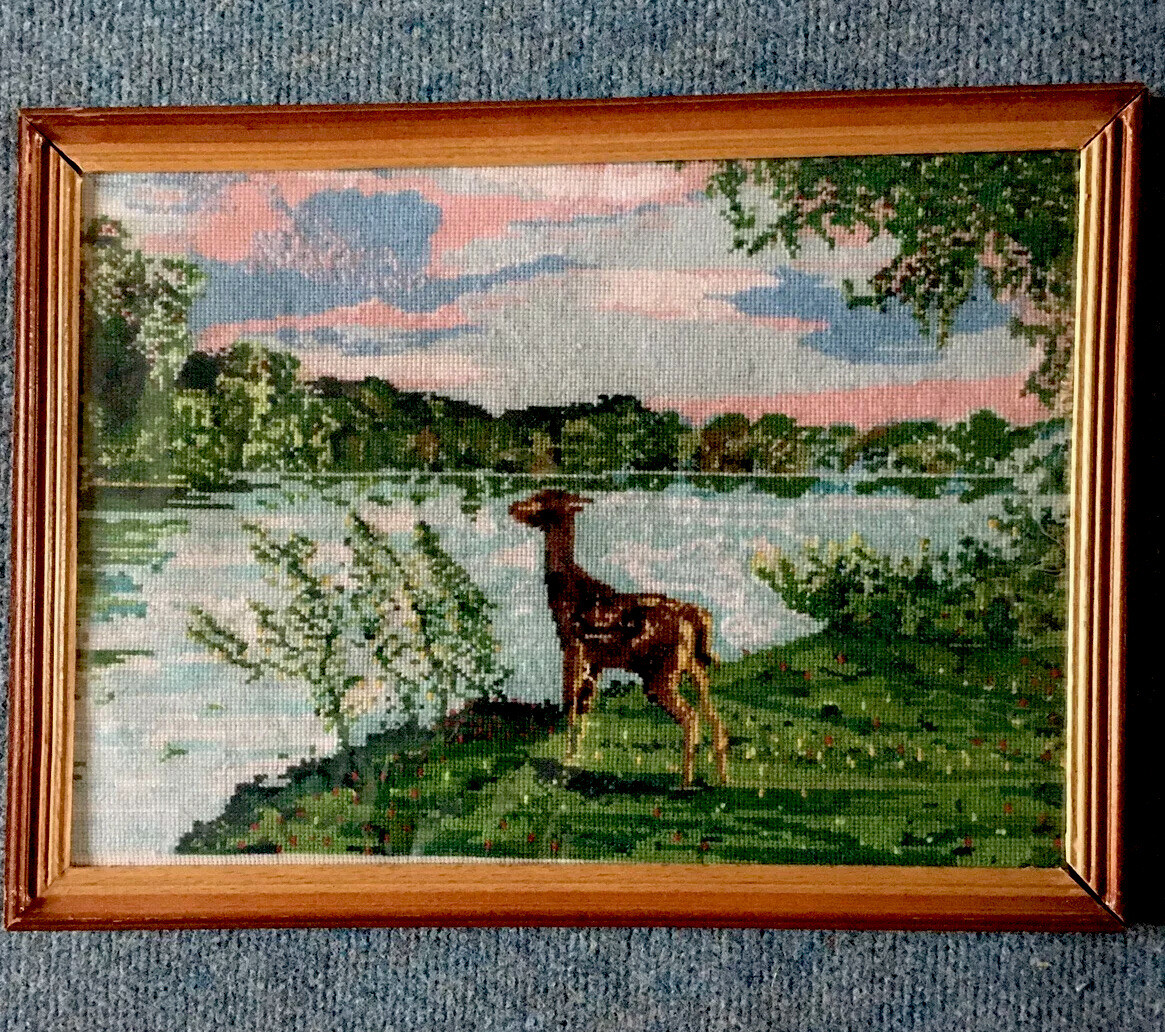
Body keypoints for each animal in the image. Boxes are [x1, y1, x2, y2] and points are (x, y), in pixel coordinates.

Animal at [509, 489, 729, 787]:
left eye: (542, 500)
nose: (512, 507)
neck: (564, 592)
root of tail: (695, 616)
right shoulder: (596, 661)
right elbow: (585, 706)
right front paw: (577, 759)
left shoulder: (572, 646)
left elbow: (571, 704)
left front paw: (566, 763)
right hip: (694, 667)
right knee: (715, 718)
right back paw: (722, 780)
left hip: (661, 673)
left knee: (691, 717)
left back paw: (685, 782)